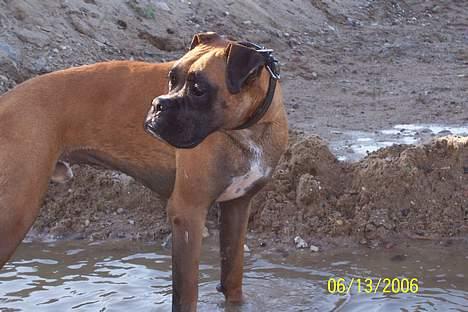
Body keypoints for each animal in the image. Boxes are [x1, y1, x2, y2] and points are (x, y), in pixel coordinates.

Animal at [0, 33, 288, 310]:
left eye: (198, 89)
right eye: (172, 78)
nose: (158, 104)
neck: (246, 131)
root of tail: (6, 100)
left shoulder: (237, 207)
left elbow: (232, 277)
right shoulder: (188, 215)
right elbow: (186, 293)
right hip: (15, 213)